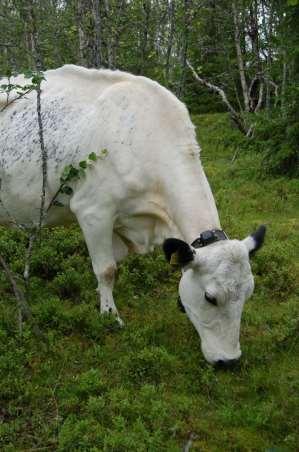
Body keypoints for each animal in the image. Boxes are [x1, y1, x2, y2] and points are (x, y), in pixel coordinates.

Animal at [0, 65, 268, 366]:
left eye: (249, 294)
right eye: (210, 297)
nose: (229, 361)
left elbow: (112, 263)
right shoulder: (93, 210)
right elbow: (106, 269)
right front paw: (109, 317)